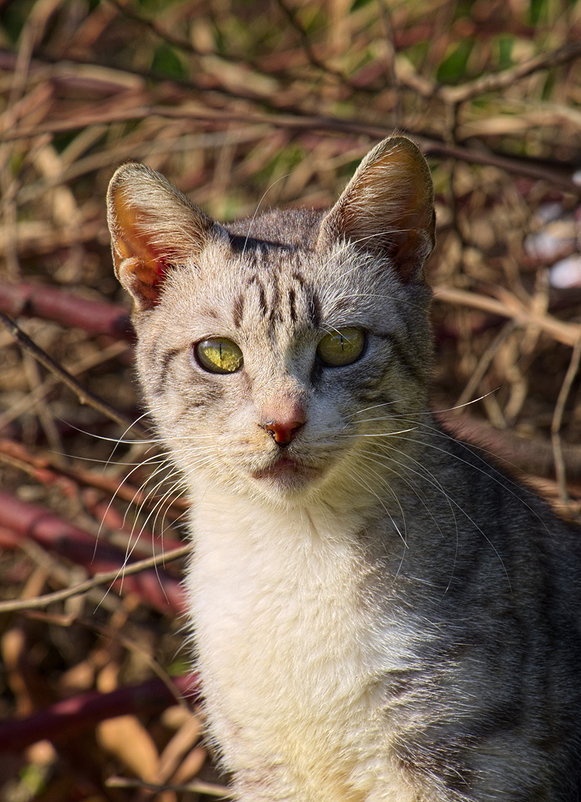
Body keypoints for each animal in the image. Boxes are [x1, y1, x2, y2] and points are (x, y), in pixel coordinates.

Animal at [106, 139, 580, 800]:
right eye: (218, 354)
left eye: (343, 345)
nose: (282, 423)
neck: (294, 554)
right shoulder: (266, 770)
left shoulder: (464, 760)